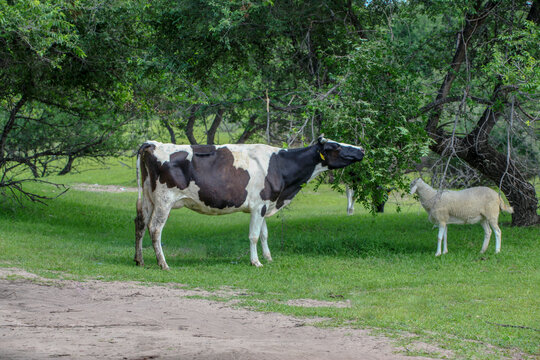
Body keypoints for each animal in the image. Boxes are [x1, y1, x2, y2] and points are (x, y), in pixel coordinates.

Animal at [133, 136, 364, 270]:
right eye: (336, 146)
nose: (361, 149)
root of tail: (153, 144)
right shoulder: (258, 204)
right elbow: (253, 235)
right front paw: (256, 262)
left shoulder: (266, 203)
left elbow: (264, 234)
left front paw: (268, 258)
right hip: (164, 200)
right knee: (155, 228)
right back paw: (163, 263)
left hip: (148, 198)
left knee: (140, 224)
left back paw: (139, 260)